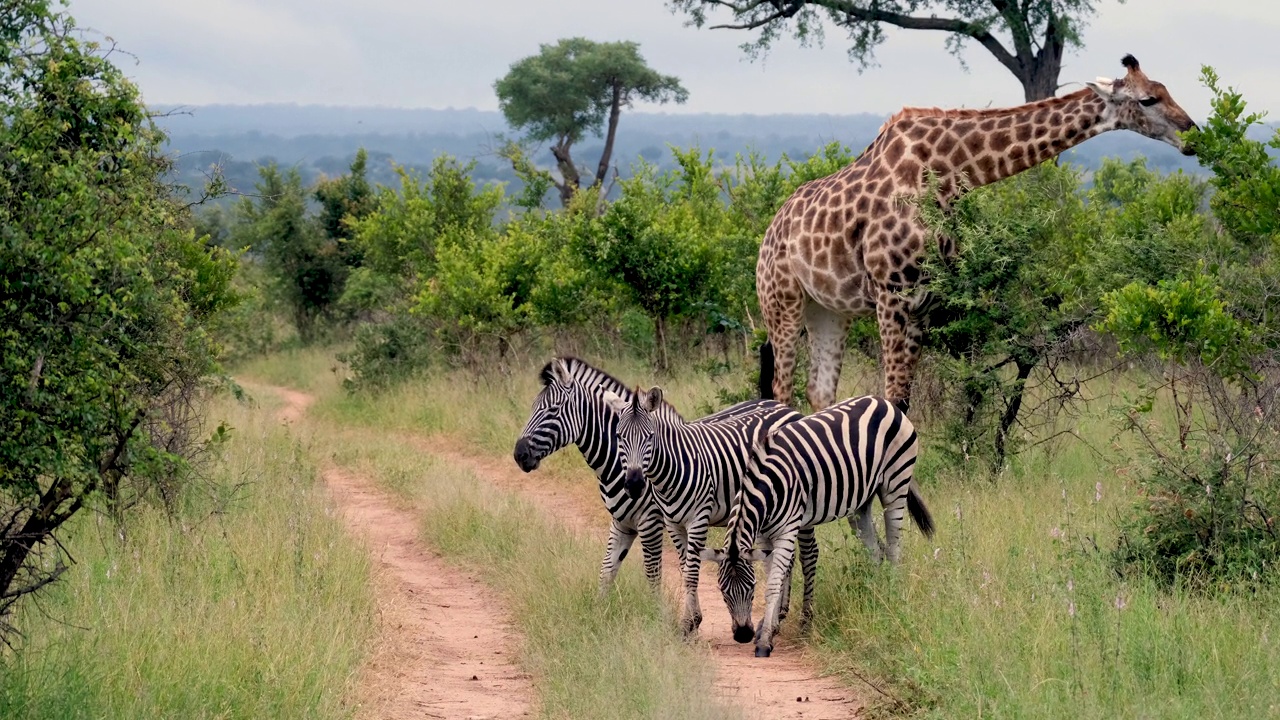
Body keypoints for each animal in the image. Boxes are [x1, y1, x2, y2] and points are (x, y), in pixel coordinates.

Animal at [512, 353, 788, 594]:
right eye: (533, 407)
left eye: (553, 410)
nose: (519, 454)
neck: (616, 464)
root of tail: (777, 403)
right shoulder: (621, 523)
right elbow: (606, 571)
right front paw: (599, 614)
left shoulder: (651, 522)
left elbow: (653, 576)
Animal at [601, 384, 819, 635]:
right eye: (619, 436)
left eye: (650, 437)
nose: (634, 484)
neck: (673, 466)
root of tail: (793, 412)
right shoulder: (672, 522)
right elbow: (685, 567)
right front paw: (691, 623)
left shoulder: (697, 518)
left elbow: (691, 570)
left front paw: (688, 624)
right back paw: (778, 617)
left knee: (809, 554)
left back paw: (805, 623)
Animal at [696, 394, 936, 653]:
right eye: (722, 591)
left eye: (751, 587)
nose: (742, 635)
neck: (766, 486)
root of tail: (882, 401)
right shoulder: (762, 534)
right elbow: (775, 577)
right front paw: (768, 629)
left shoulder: (788, 527)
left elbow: (774, 583)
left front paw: (765, 639)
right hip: (861, 502)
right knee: (875, 551)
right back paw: (876, 598)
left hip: (896, 481)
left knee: (893, 548)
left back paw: (892, 596)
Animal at [752, 53, 1192, 412]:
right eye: (1148, 100)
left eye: (1165, 90)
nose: (1191, 133)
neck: (950, 172)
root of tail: (769, 233)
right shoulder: (891, 294)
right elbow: (891, 397)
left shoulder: (924, 302)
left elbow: (903, 402)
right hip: (781, 302)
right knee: (781, 389)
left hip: (827, 309)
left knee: (819, 391)